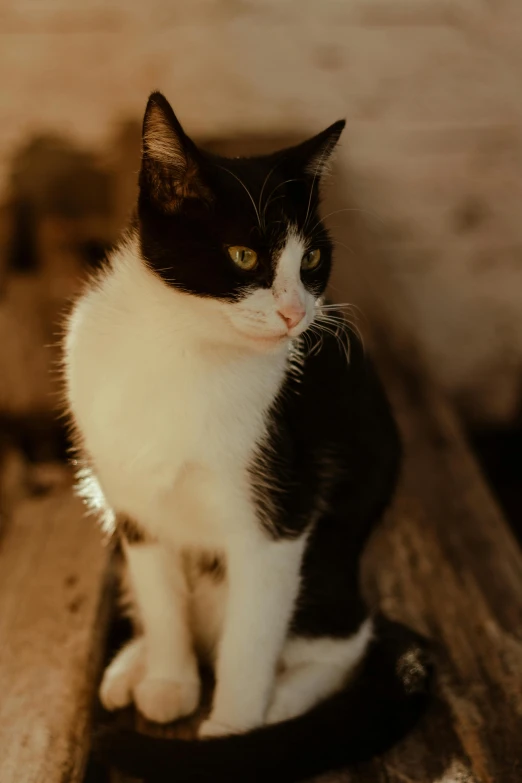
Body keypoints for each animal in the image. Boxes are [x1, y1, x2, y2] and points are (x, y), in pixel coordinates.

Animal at [63, 93, 428, 783]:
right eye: (243, 257)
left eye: (310, 260)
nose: (295, 313)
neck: (181, 347)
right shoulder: (133, 499)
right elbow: (160, 593)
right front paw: (170, 680)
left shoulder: (280, 511)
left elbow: (250, 634)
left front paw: (231, 730)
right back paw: (132, 666)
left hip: (333, 556)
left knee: (348, 635)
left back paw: (282, 702)